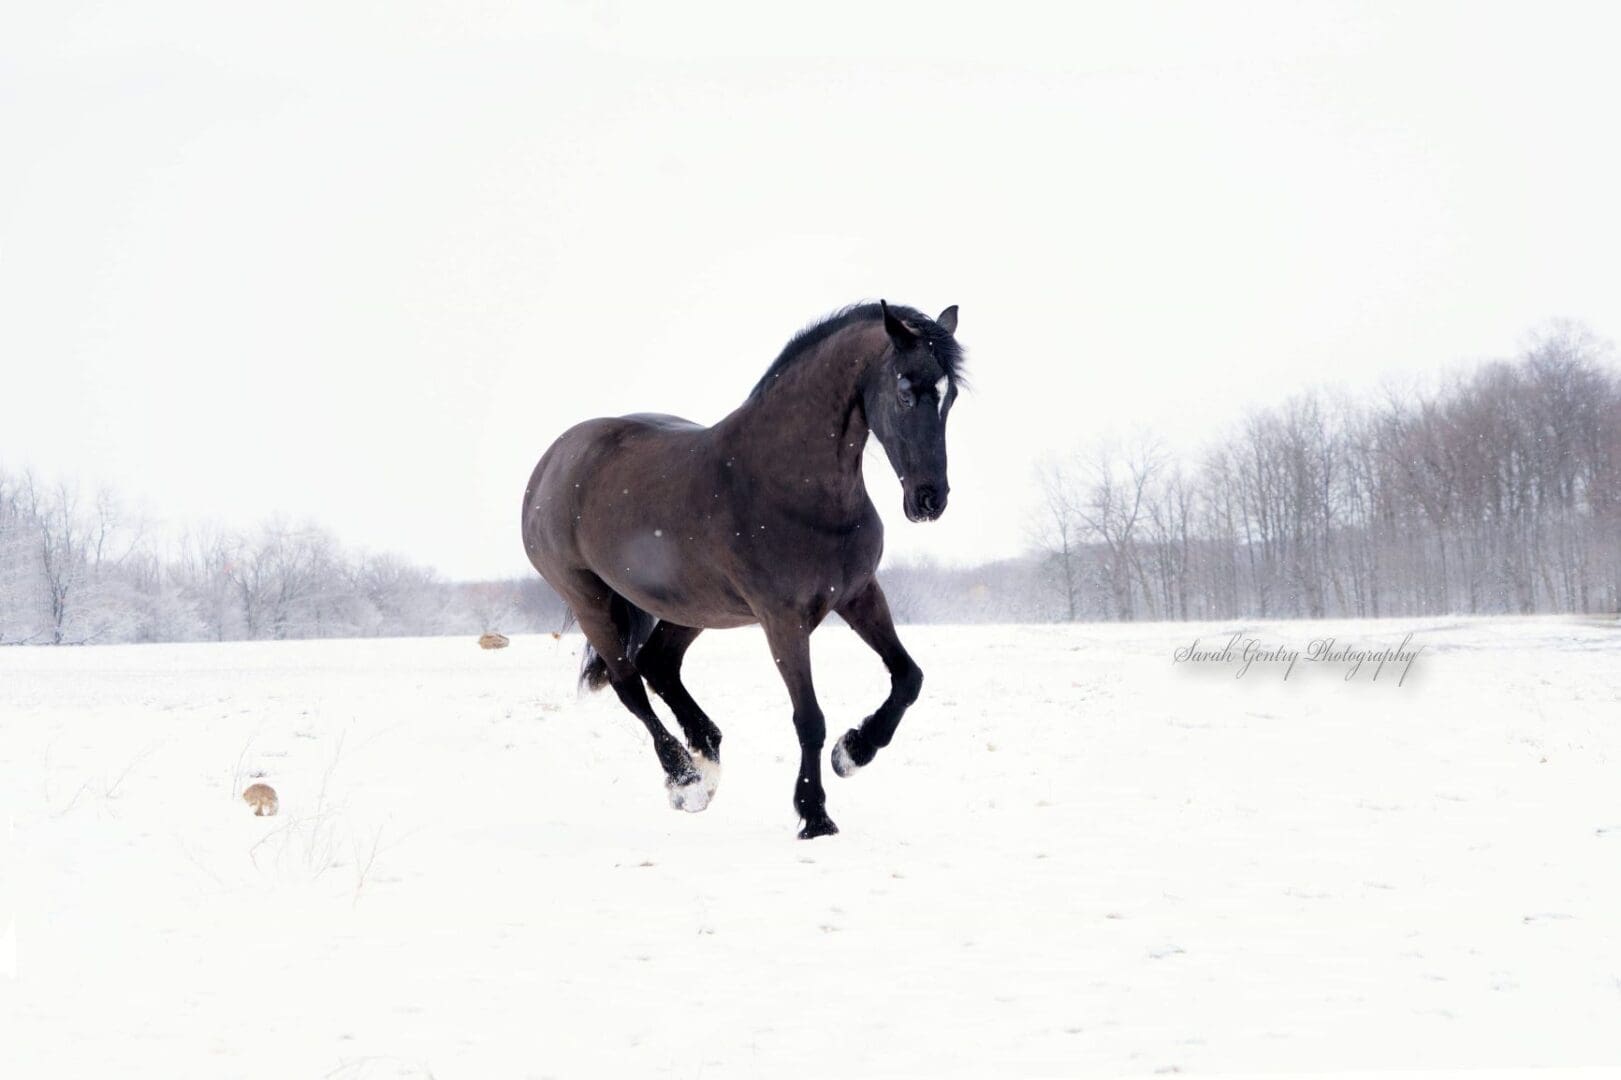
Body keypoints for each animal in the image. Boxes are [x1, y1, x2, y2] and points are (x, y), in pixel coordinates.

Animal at [521, 298, 959, 836]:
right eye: (904, 391)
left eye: (949, 396)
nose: (930, 499)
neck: (792, 485)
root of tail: (550, 463)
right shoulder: (782, 619)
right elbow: (809, 718)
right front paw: (815, 815)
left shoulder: (859, 594)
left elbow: (908, 677)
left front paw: (853, 752)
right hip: (591, 602)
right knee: (630, 685)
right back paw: (686, 780)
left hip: (692, 607)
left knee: (658, 665)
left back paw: (706, 758)